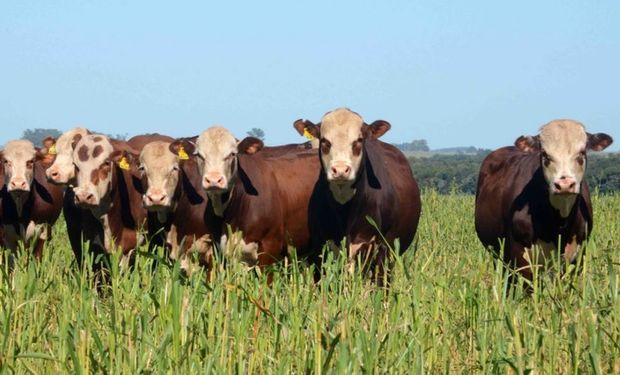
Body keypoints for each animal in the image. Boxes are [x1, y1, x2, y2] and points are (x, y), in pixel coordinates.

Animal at [294, 107, 422, 284]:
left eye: (359, 140)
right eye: (325, 141)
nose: (340, 170)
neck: (344, 210)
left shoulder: (373, 245)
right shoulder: (322, 245)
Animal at [474, 120, 616, 284]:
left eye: (581, 153)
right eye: (545, 155)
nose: (565, 184)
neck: (559, 223)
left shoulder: (578, 255)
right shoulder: (520, 255)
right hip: (498, 253)